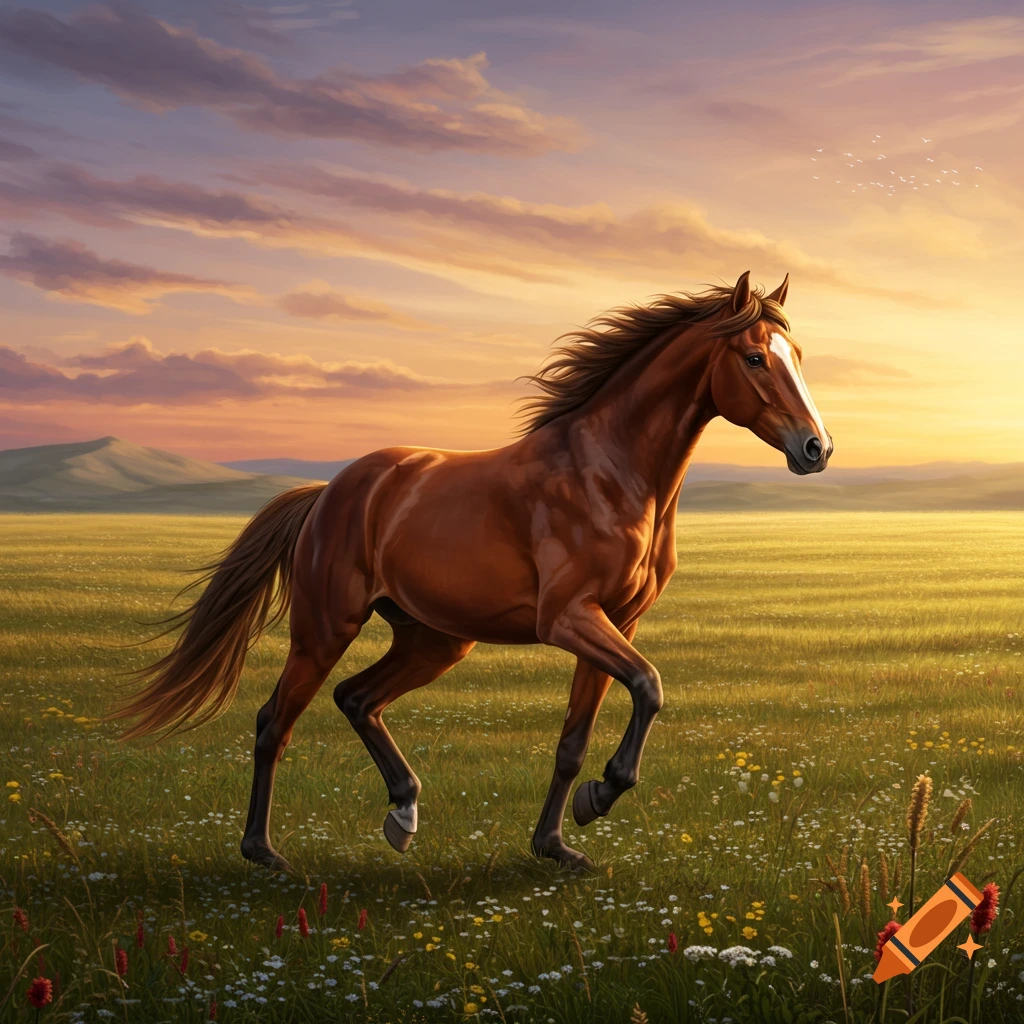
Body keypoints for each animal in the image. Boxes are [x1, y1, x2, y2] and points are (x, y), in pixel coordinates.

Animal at [113, 270, 832, 873]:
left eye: (797, 355)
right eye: (755, 357)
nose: (816, 448)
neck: (610, 473)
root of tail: (327, 492)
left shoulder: (615, 623)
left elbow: (574, 738)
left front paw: (558, 843)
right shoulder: (569, 619)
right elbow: (649, 686)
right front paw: (600, 797)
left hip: (434, 640)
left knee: (356, 698)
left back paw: (403, 813)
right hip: (326, 628)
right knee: (275, 722)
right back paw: (264, 852)